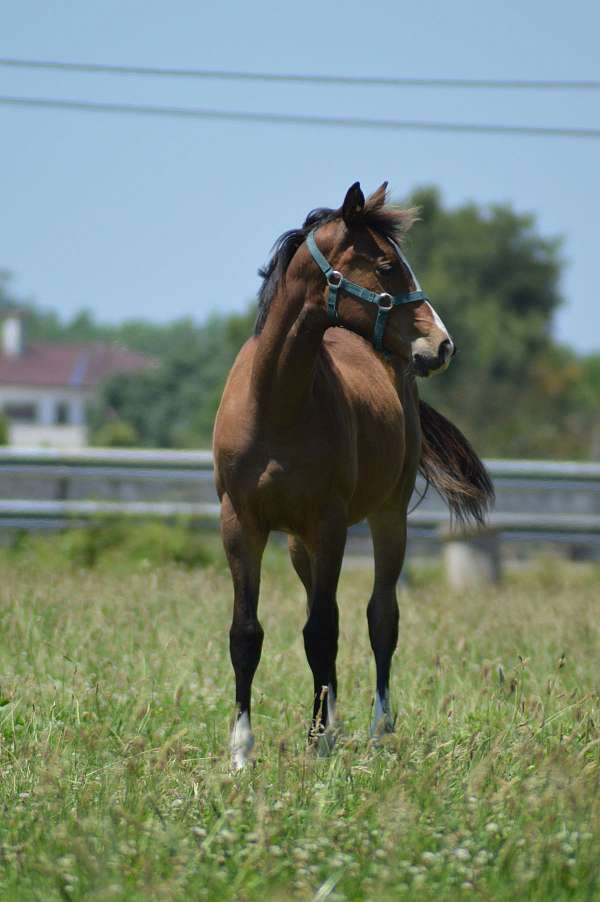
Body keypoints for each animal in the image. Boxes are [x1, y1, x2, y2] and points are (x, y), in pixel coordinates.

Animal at [213, 181, 493, 769]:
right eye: (387, 266)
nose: (442, 345)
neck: (276, 402)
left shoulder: (330, 524)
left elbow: (324, 631)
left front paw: (319, 741)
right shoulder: (241, 524)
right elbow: (247, 633)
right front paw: (242, 753)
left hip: (386, 519)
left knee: (378, 616)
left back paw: (377, 728)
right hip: (300, 544)